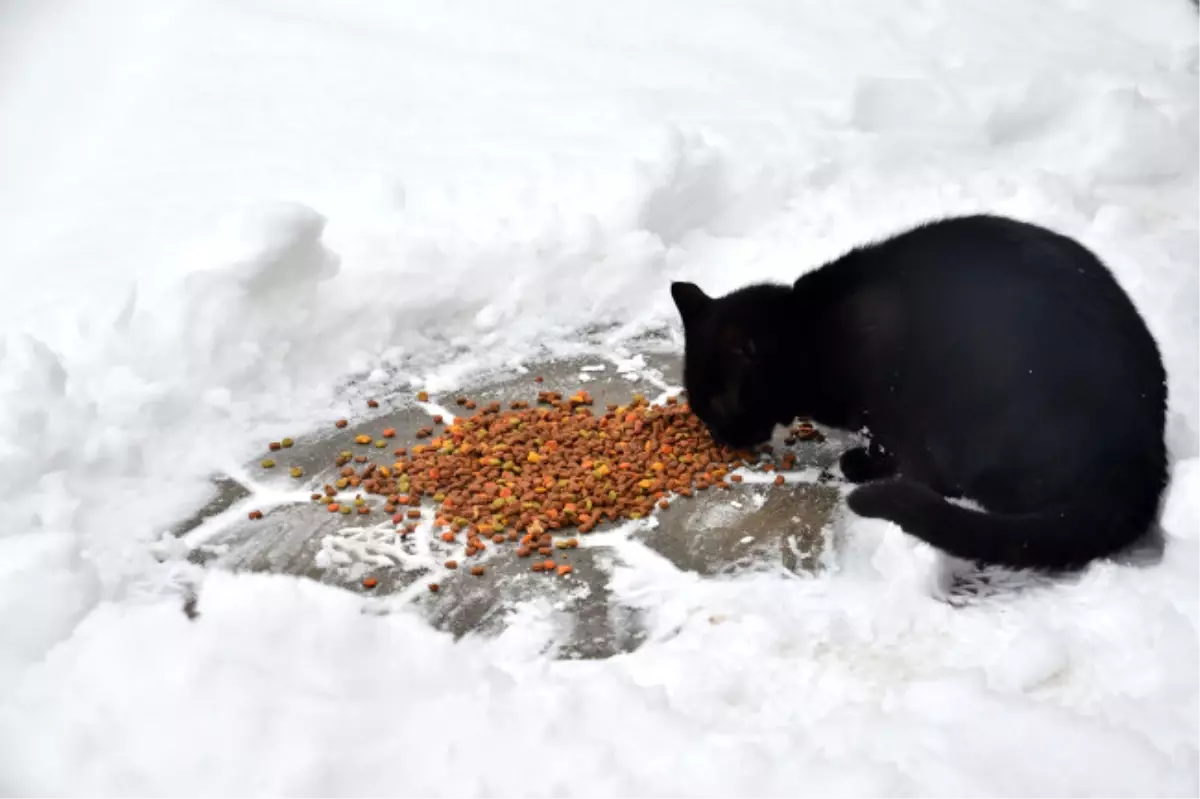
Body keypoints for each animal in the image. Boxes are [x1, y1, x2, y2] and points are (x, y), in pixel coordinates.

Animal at [676, 214, 1171, 568]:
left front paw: (864, 466)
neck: (810, 333)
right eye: (698, 409)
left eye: (719, 406)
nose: (720, 438)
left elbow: (900, 454)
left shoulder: (892, 403)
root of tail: (1140, 462)